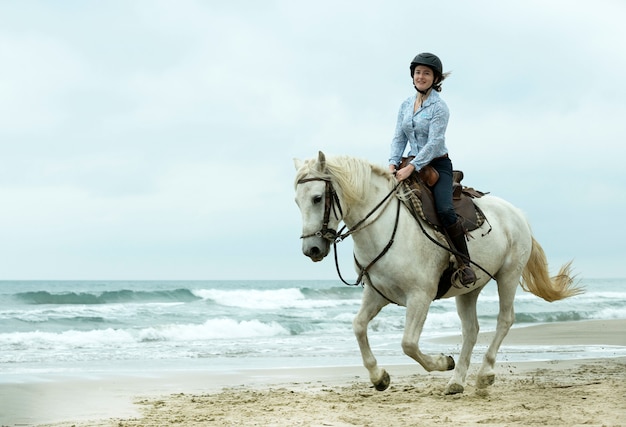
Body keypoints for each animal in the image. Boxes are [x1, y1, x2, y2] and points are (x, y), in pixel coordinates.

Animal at [292, 152, 580, 396]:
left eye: (317, 198)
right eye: (297, 201)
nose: (311, 249)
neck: (385, 229)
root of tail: (517, 214)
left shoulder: (420, 296)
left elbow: (408, 343)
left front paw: (443, 362)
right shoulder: (377, 294)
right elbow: (358, 326)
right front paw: (379, 377)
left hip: (508, 275)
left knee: (504, 320)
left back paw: (484, 374)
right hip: (469, 289)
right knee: (471, 330)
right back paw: (456, 382)